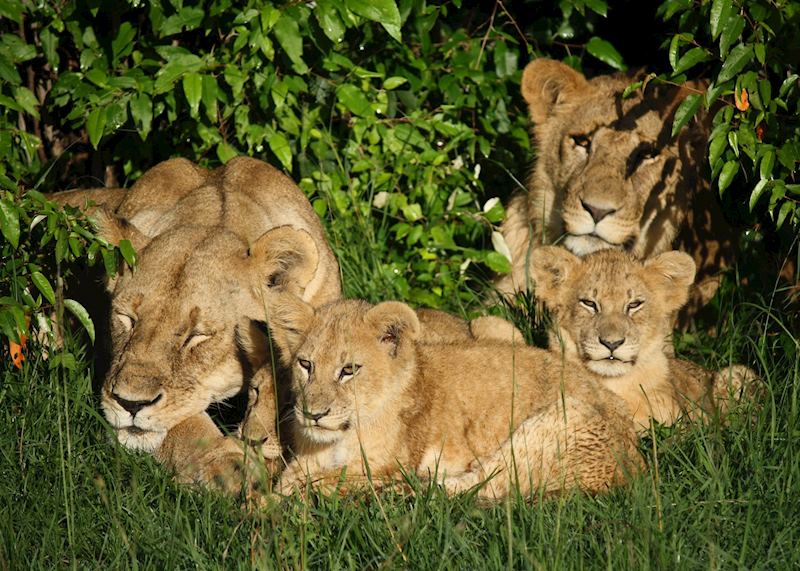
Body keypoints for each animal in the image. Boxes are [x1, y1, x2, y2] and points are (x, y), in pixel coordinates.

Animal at [258, 294, 641, 501]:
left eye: (349, 370)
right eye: (306, 364)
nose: (314, 414)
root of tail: (635, 469)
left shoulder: (388, 463)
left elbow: (315, 482)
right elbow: (292, 477)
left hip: (551, 427)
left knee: (472, 488)